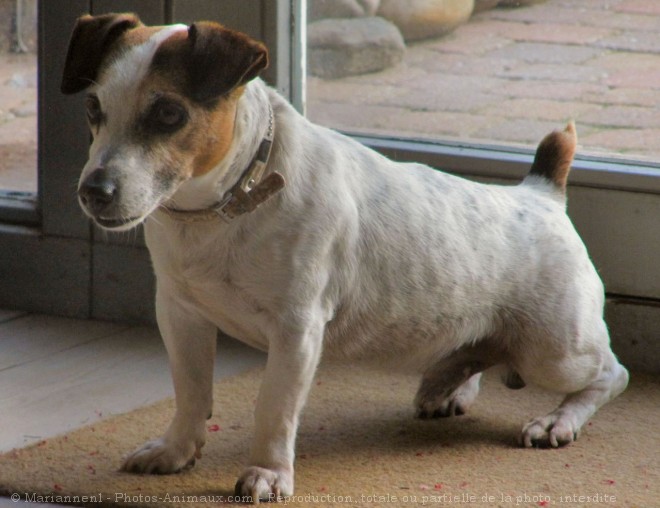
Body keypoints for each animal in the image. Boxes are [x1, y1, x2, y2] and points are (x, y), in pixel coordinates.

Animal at [62, 12, 628, 504]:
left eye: (168, 113)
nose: (92, 192)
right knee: (479, 355)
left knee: (609, 376)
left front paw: (268, 472)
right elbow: (190, 391)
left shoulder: (296, 331)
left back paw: (557, 420)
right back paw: (448, 385)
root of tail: (541, 192)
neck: (227, 206)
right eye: (92, 109)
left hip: (554, 353)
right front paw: (176, 450)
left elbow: (273, 408)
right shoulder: (181, 316)